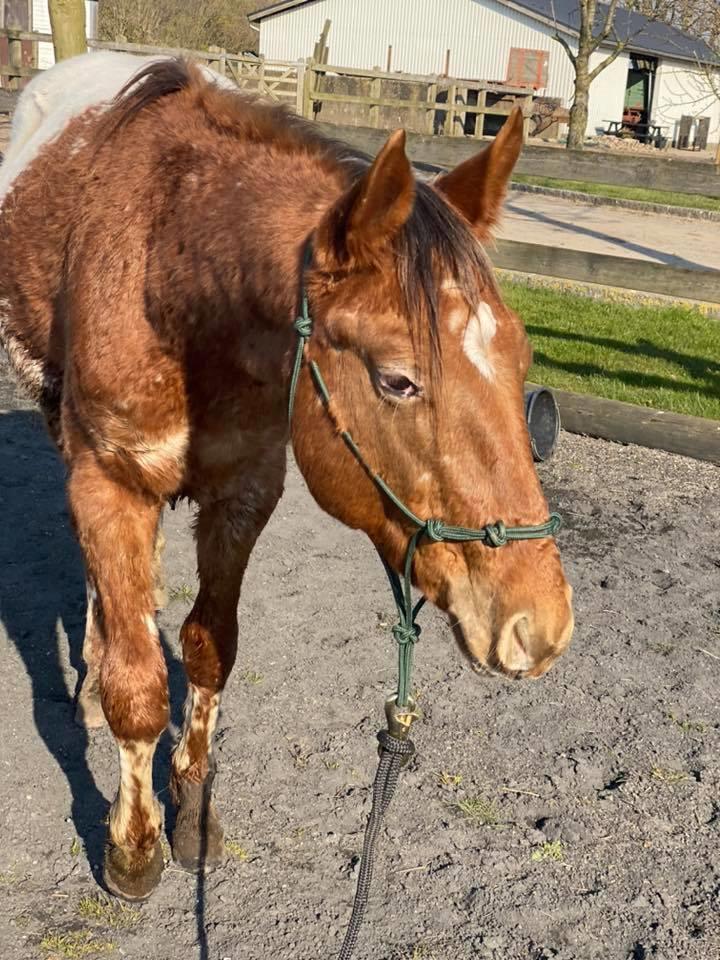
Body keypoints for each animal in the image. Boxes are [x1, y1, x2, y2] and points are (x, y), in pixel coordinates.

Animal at [0, 58, 572, 900]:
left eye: (523, 359)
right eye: (397, 380)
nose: (540, 626)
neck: (168, 265)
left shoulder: (245, 491)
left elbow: (209, 649)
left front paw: (191, 813)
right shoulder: (108, 483)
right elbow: (138, 686)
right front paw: (133, 846)